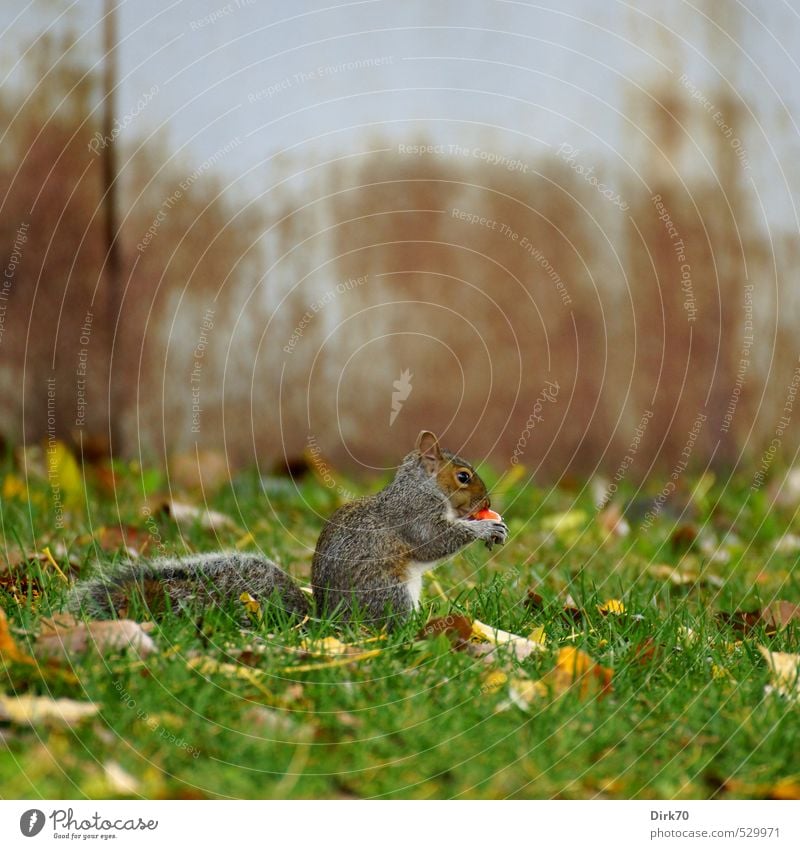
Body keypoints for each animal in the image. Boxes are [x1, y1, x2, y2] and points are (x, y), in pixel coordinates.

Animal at [70, 434, 506, 628]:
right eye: (463, 477)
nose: (487, 500)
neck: (421, 486)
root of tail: (331, 624)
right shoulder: (414, 513)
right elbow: (434, 540)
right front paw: (484, 528)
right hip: (391, 593)